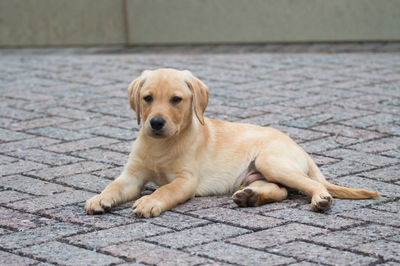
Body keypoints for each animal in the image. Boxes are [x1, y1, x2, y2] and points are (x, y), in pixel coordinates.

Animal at [84, 67, 378, 217]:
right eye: (147, 98)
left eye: (176, 100)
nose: (155, 123)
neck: (161, 145)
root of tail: (299, 148)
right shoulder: (132, 176)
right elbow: (113, 185)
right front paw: (100, 198)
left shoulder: (185, 180)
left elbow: (165, 190)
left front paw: (149, 202)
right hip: (255, 174)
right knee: (281, 190)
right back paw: (251, 197)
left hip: (270, 160)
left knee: (311, 185)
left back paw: (320, 199)